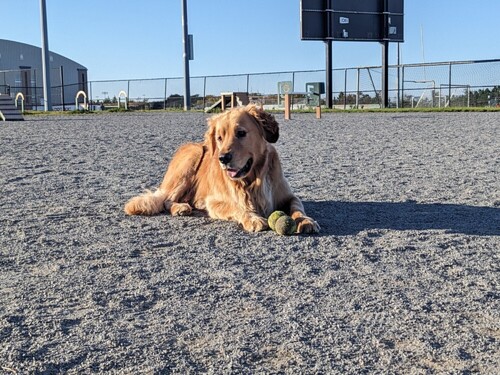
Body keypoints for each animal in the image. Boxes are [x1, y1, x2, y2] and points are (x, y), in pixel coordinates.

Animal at [125, 105, 320, 235]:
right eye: (219, 138)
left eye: (241, 133)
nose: (223, 159)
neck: (254, 179)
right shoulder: (214, 201)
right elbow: (237, 206)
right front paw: (253, 218)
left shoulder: (289, 196)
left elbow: (297, 206)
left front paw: (305, 220)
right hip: (193, 156)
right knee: (167, 200)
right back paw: (180, 207)